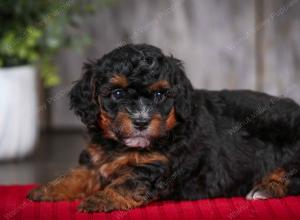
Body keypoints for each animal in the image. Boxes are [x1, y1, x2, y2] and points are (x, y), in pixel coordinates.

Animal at [27, 43, 300, 212]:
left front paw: (100, 199)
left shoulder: (158, 165)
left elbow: (128, 181)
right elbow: (78, 175)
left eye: (159, 95)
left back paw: (264, 189)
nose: (141, 122)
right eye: (117, 93)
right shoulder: (96, 158)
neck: (122, 146)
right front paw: (46, 190)